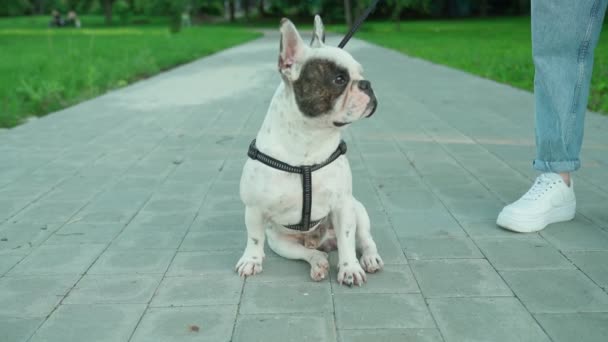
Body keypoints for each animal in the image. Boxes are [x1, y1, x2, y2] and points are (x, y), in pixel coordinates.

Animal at [235, 15, 382, 286]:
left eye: (360, 73)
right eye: (339, 79)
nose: (367, 84)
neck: (309, 140)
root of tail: (323, 241)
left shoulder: (343, 206)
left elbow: (348, 240)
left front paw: (350, 268)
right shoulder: (254, 208)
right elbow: (254, 238)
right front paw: (251, 260)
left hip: (358, 209)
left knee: (364, 239)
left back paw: (369, 258)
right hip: (280, 243)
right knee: (307, 252)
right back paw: (318, 262)